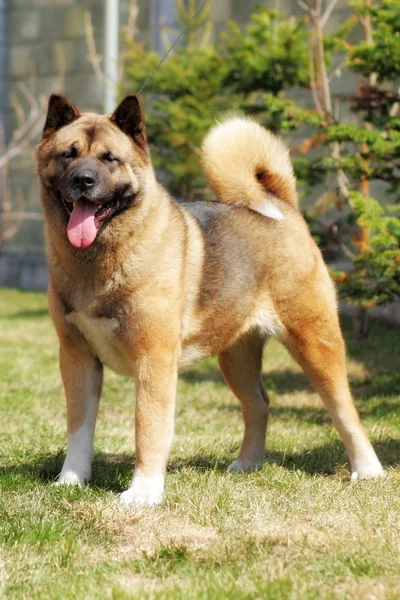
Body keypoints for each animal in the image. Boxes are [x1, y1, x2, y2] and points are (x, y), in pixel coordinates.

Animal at [37, 94, 384, 506]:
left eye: (110, 158)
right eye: (68, 154)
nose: (83, 180)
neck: (102, 259)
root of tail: (283, 208)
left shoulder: (153, 361)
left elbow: (148, 429)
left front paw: (144, 493)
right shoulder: (76, 357)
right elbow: (78, 427)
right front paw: (71, 480)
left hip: (315, 343)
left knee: (345, 411)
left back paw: (367, 470)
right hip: (237, 358)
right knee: (258, 404)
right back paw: (247, 464)